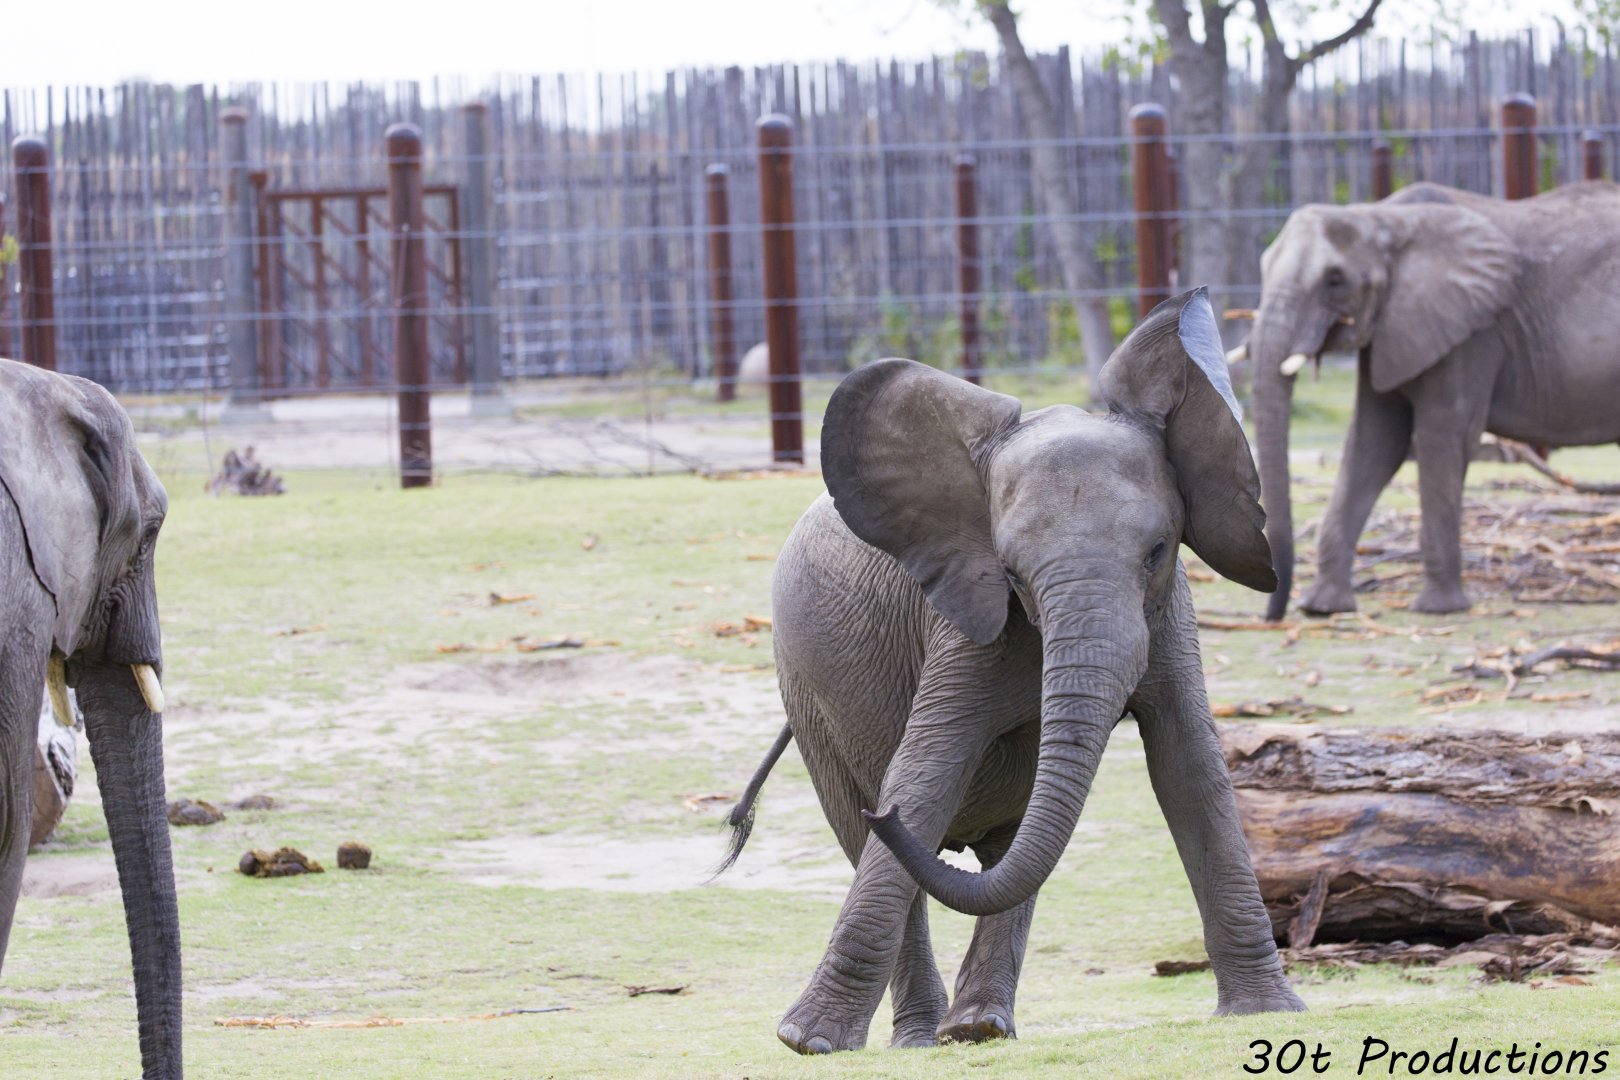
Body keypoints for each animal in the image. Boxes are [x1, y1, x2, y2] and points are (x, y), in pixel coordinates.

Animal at [722, 288, 1303, 1055]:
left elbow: (1190, 769)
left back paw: (976, 1029)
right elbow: (925, 772)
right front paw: (805, 1043)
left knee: (1008, 843)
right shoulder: (962, 620)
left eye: (1156, 550)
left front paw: (1269, 1014)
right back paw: (916, 1038)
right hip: (803, 686)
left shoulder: (1169, 614)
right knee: (861, 825)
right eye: (1012, 572)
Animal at [1248, 181, 1620, 619]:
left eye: (1334, 279)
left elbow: (1442, 437)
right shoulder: (1393, 328)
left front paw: (1439, 608)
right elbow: (1373, 443)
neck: (1382, 217)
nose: (1272, 614)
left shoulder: (1472, 332)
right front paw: (1324, 608)